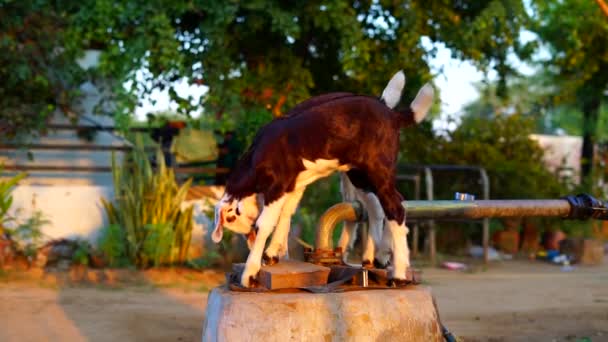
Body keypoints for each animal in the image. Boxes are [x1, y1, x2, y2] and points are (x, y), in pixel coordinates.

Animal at [213, 71, 432, 288]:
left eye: (232, 218)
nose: (250, 242)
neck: (256, 158)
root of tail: (392, 115)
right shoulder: (291, 186)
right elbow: (285, 214)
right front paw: (273, 253)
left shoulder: (277, 186)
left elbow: (265, 223)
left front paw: (250, 273)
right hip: (359, 175)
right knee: (378, 207)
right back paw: (378, 255)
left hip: (379, 168)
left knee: (395, 207)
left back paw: (399, 274)